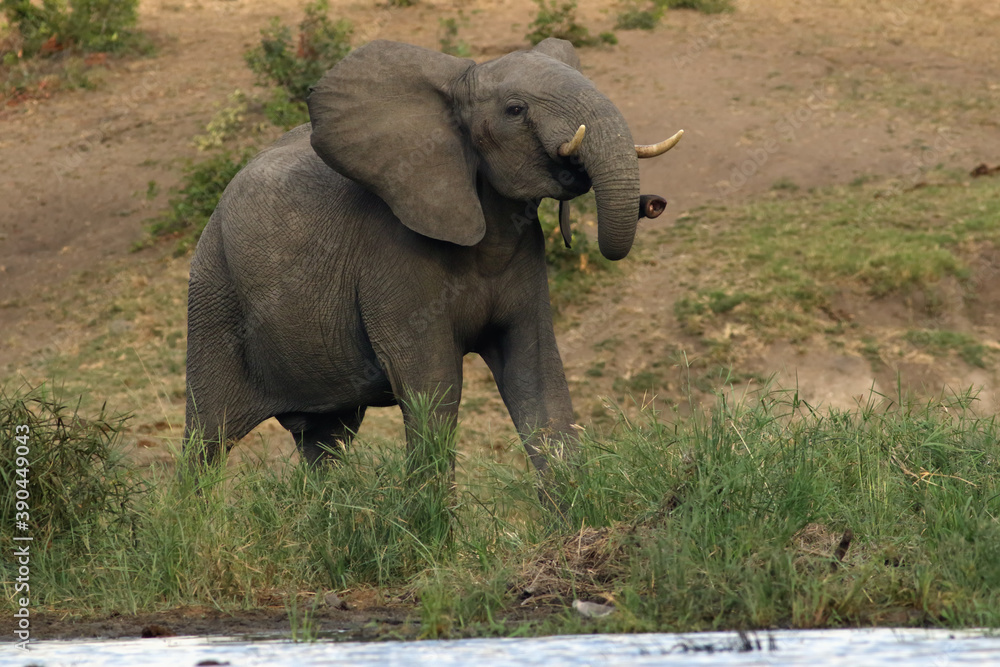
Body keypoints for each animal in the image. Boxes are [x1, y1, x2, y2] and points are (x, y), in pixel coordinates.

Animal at [182, 37, 680, 480]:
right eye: (515, 110)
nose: (654, 203)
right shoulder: (392, 259)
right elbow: (434, 387)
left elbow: (537, 377)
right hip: (213, 297)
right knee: (207, 440)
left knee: (325, 440)